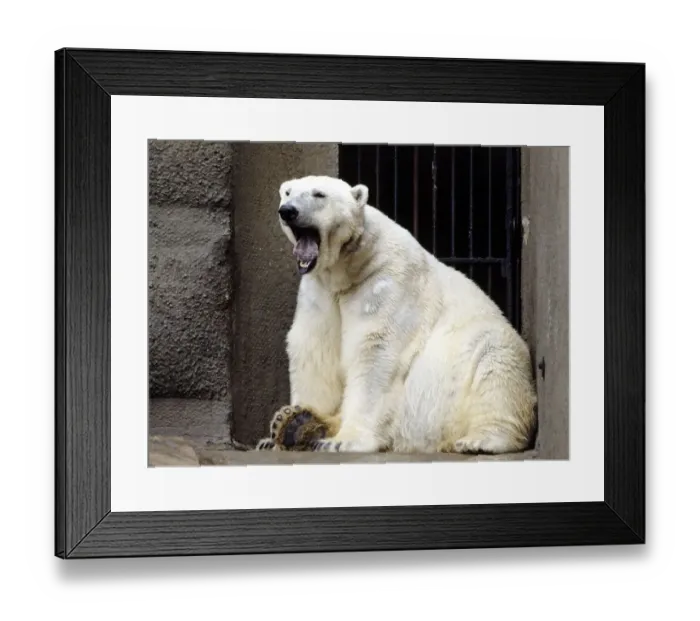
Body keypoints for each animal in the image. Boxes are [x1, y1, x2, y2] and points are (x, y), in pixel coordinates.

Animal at [255, 174, 537, 455]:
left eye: (319, 194)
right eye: (288, 192)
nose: (288, 211)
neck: (347, 269)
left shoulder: (386, 283)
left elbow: (375, 352)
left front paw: (343, 440)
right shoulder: (320, 293)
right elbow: (315, 350)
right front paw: (281, 431)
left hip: (485, 355)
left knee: (496, 371)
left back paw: (479, 440)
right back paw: (295, 424)